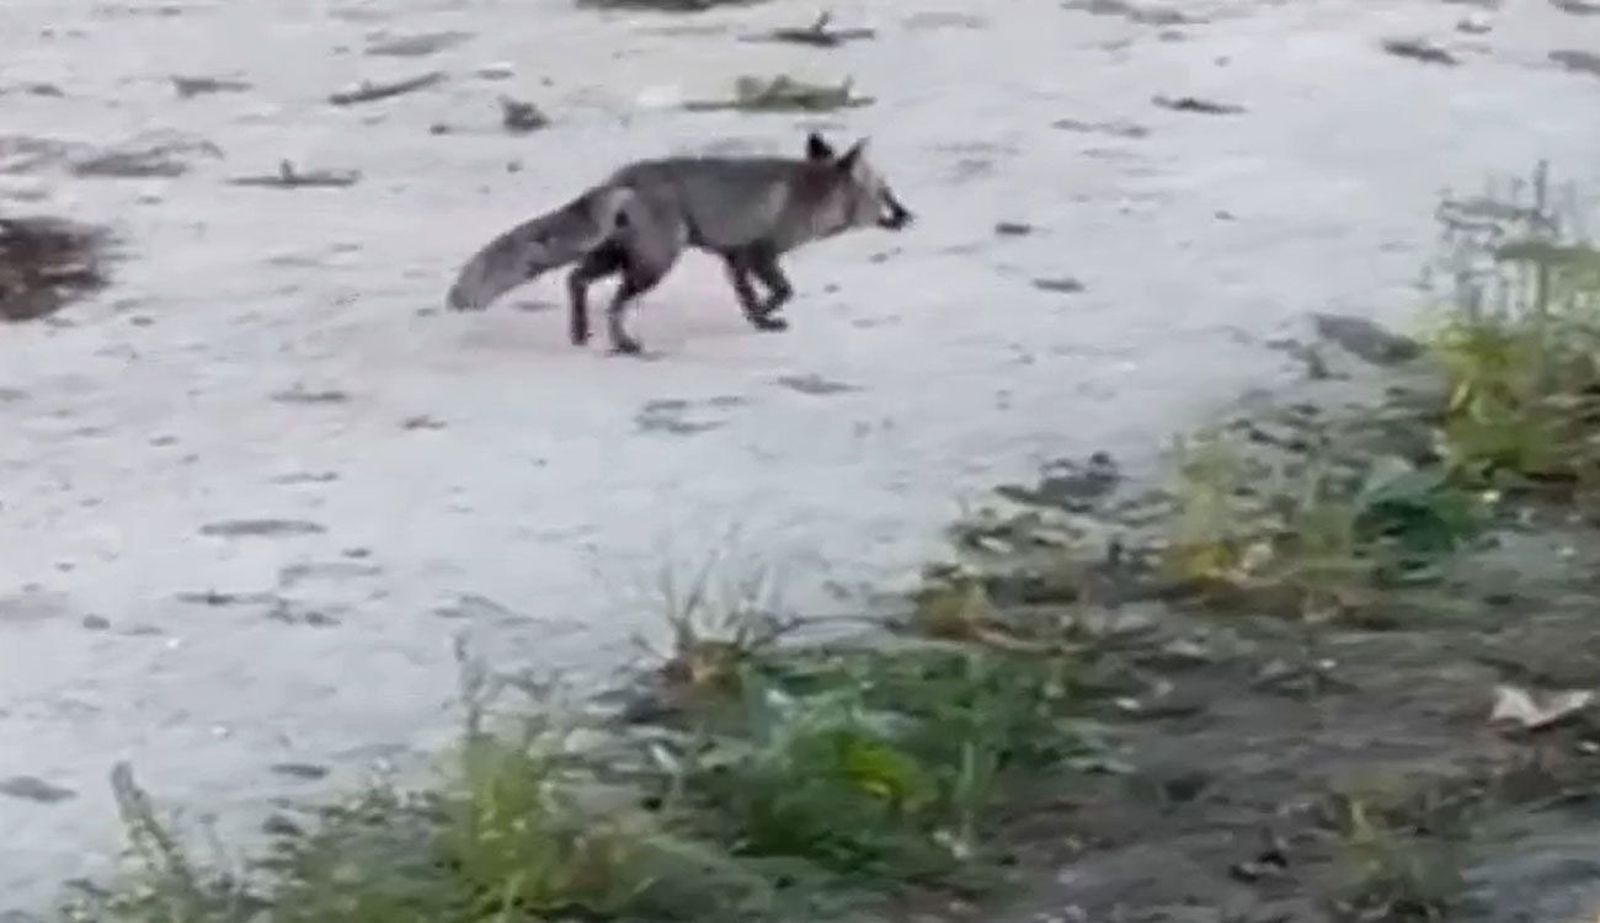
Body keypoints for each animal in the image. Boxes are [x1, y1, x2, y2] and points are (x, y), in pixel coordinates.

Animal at [444, 131, 914, 355]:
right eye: (888, 195)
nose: (910, 217)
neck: (811, 193)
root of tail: (620, 178)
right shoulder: (759, 251)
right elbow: (783, 290)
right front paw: (766, 313)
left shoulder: (734, 258)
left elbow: (749, 297)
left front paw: (760, 320)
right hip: (653, 265)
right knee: (612, 302)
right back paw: (624, 344)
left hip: (624, 257)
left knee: (575, 279)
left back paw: (580, 332)